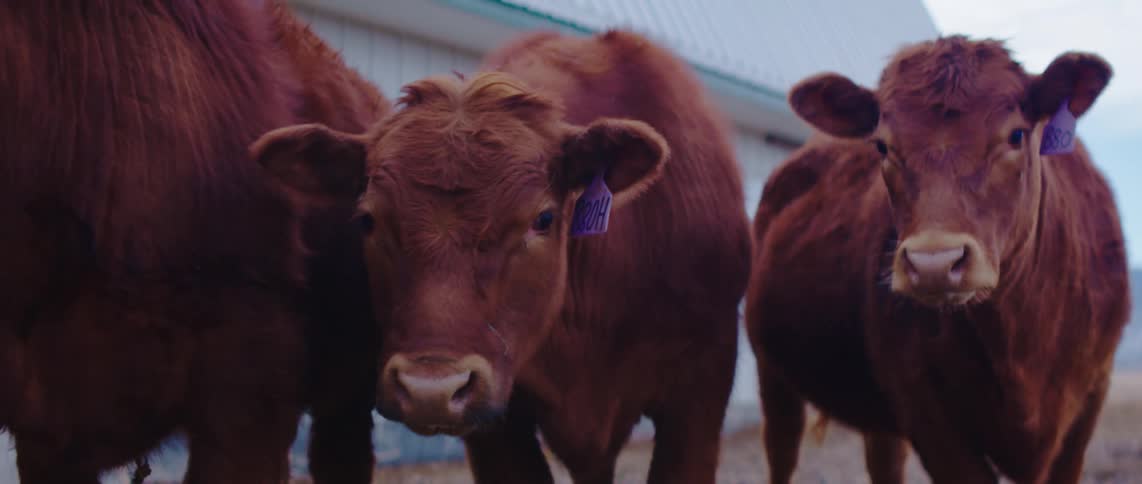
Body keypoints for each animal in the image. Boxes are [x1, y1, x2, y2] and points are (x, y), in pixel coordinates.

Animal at [746, 35, 1130, 484]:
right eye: (882, 145)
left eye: (1017, 135)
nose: (934, 263)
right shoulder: (927, 413)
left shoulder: (1086, 407)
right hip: (772, 373)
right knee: (782, 448)